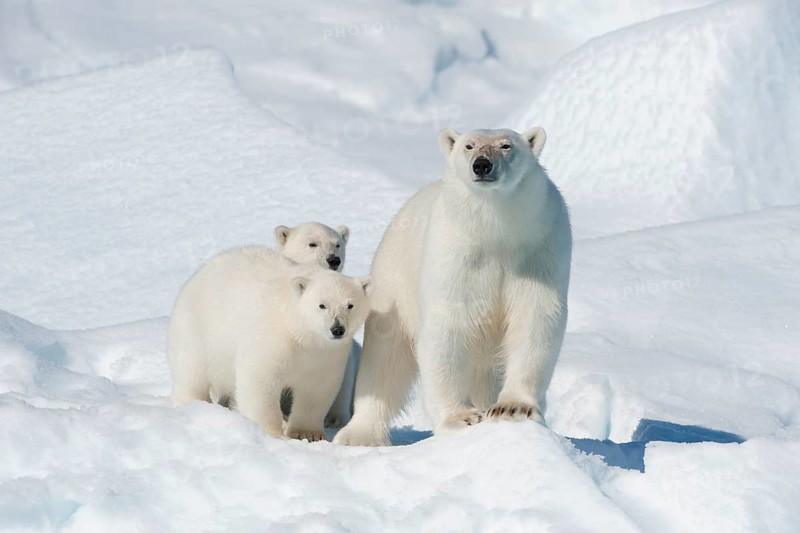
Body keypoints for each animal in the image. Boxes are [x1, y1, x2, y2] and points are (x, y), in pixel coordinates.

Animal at [168, 245, 370, 441]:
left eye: (350, 305)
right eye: (322, 305)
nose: (337, 329)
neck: (298, 332)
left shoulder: (327, 354)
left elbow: (316, 388)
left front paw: (307, 433)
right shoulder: (271, 339)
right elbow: (260, 381)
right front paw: (273, 432)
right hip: (197, 329)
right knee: (192, 371)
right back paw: (195, 402)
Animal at [334, 127, 572, 446]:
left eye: (506, 145)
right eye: (468, 145)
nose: (482, 165)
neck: (496, 231)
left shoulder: (539, 248)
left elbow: (534, 319)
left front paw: (512, 407)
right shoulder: (455, 254)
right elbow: (448, 325)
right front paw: (462, 418)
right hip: (392, 284)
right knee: (385, 361)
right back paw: (360, 434)